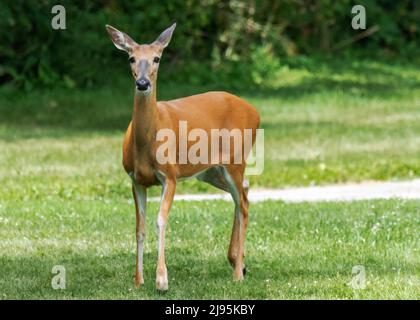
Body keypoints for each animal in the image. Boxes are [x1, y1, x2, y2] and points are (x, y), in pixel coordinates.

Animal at [105, 23, 260, 292]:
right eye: (131, 58)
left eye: (157, 58)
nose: (143, 83)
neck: (147, 142)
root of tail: (256, 112)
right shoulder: (135, 179)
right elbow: (139, 228)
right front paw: (138, 280)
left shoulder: (170, 175)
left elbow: (160, 220)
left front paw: (162, 280)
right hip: (210, 171)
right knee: (244, 191)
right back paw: (237, 261)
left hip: (235, 160)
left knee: (242, 203)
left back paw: (238, 272)